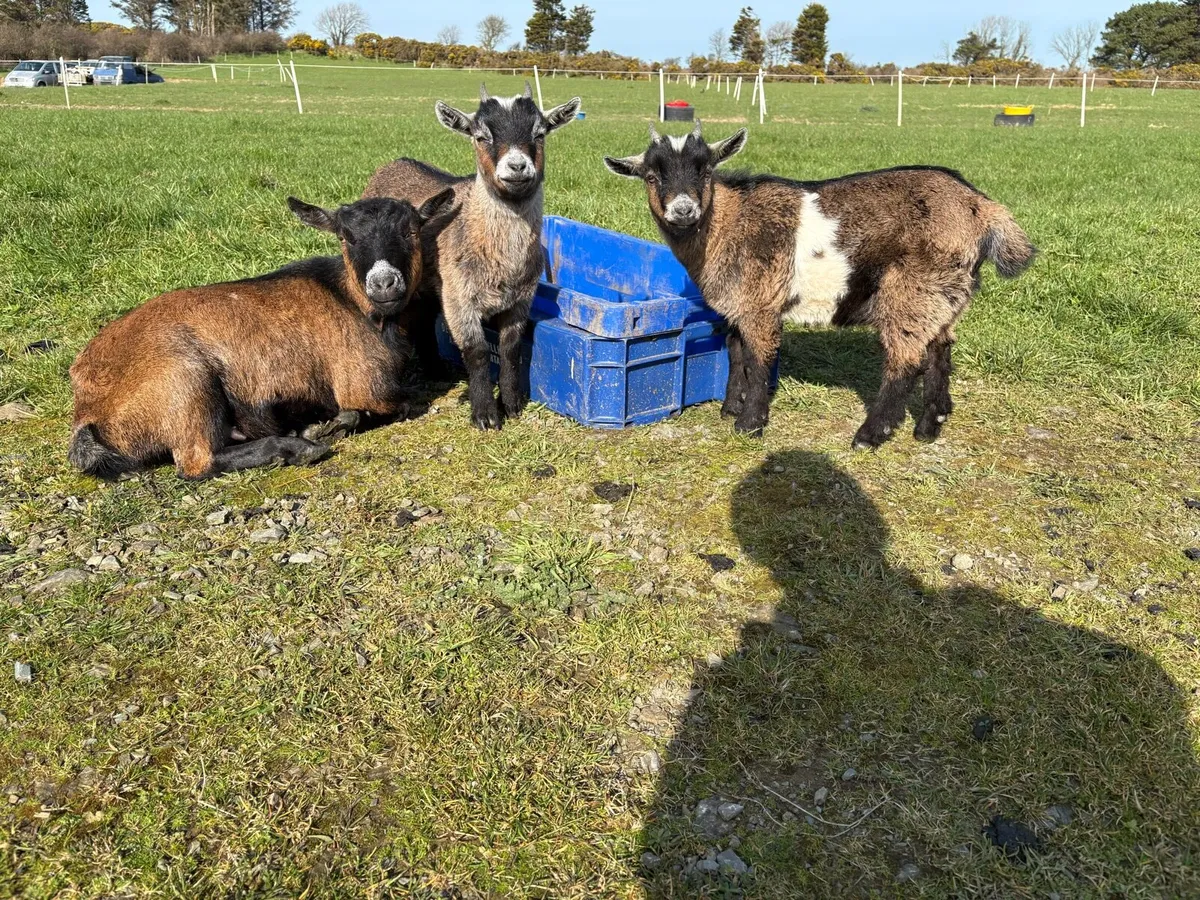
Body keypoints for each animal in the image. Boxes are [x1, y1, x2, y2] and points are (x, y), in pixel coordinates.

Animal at [68, 191, 455, 480]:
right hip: (183, 381)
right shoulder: (366, 386)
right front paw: (329, 426)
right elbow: (400, 406)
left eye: (411, 231)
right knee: (197, 463)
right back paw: (297, 448)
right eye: (346, 237)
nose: (384, 283)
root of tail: (86, 407)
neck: (351, 301)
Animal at [363, 82, 581, 430]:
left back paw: (436, 369)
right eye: (481, 136)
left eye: (539, 133)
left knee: (425, 318)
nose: (517, 167)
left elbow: (509, 348)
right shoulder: (459, 299)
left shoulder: (521, 299)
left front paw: (512, 403)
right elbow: (477, 351)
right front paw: (485, 414)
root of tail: (394, 162)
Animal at [604, 123, 1035, 446]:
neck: (727, 223)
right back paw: (929, 427)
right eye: (651, 176)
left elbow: (758, 360)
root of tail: (982, 209)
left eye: (705, 171)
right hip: (945, 296)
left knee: (906, 359)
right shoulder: (738, 306)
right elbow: (735, 352)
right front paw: (730, 407)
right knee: (939, 351)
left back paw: (870, 434)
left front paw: (750, 424)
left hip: (913, 290)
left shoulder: (761, 303)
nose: (684, 210)